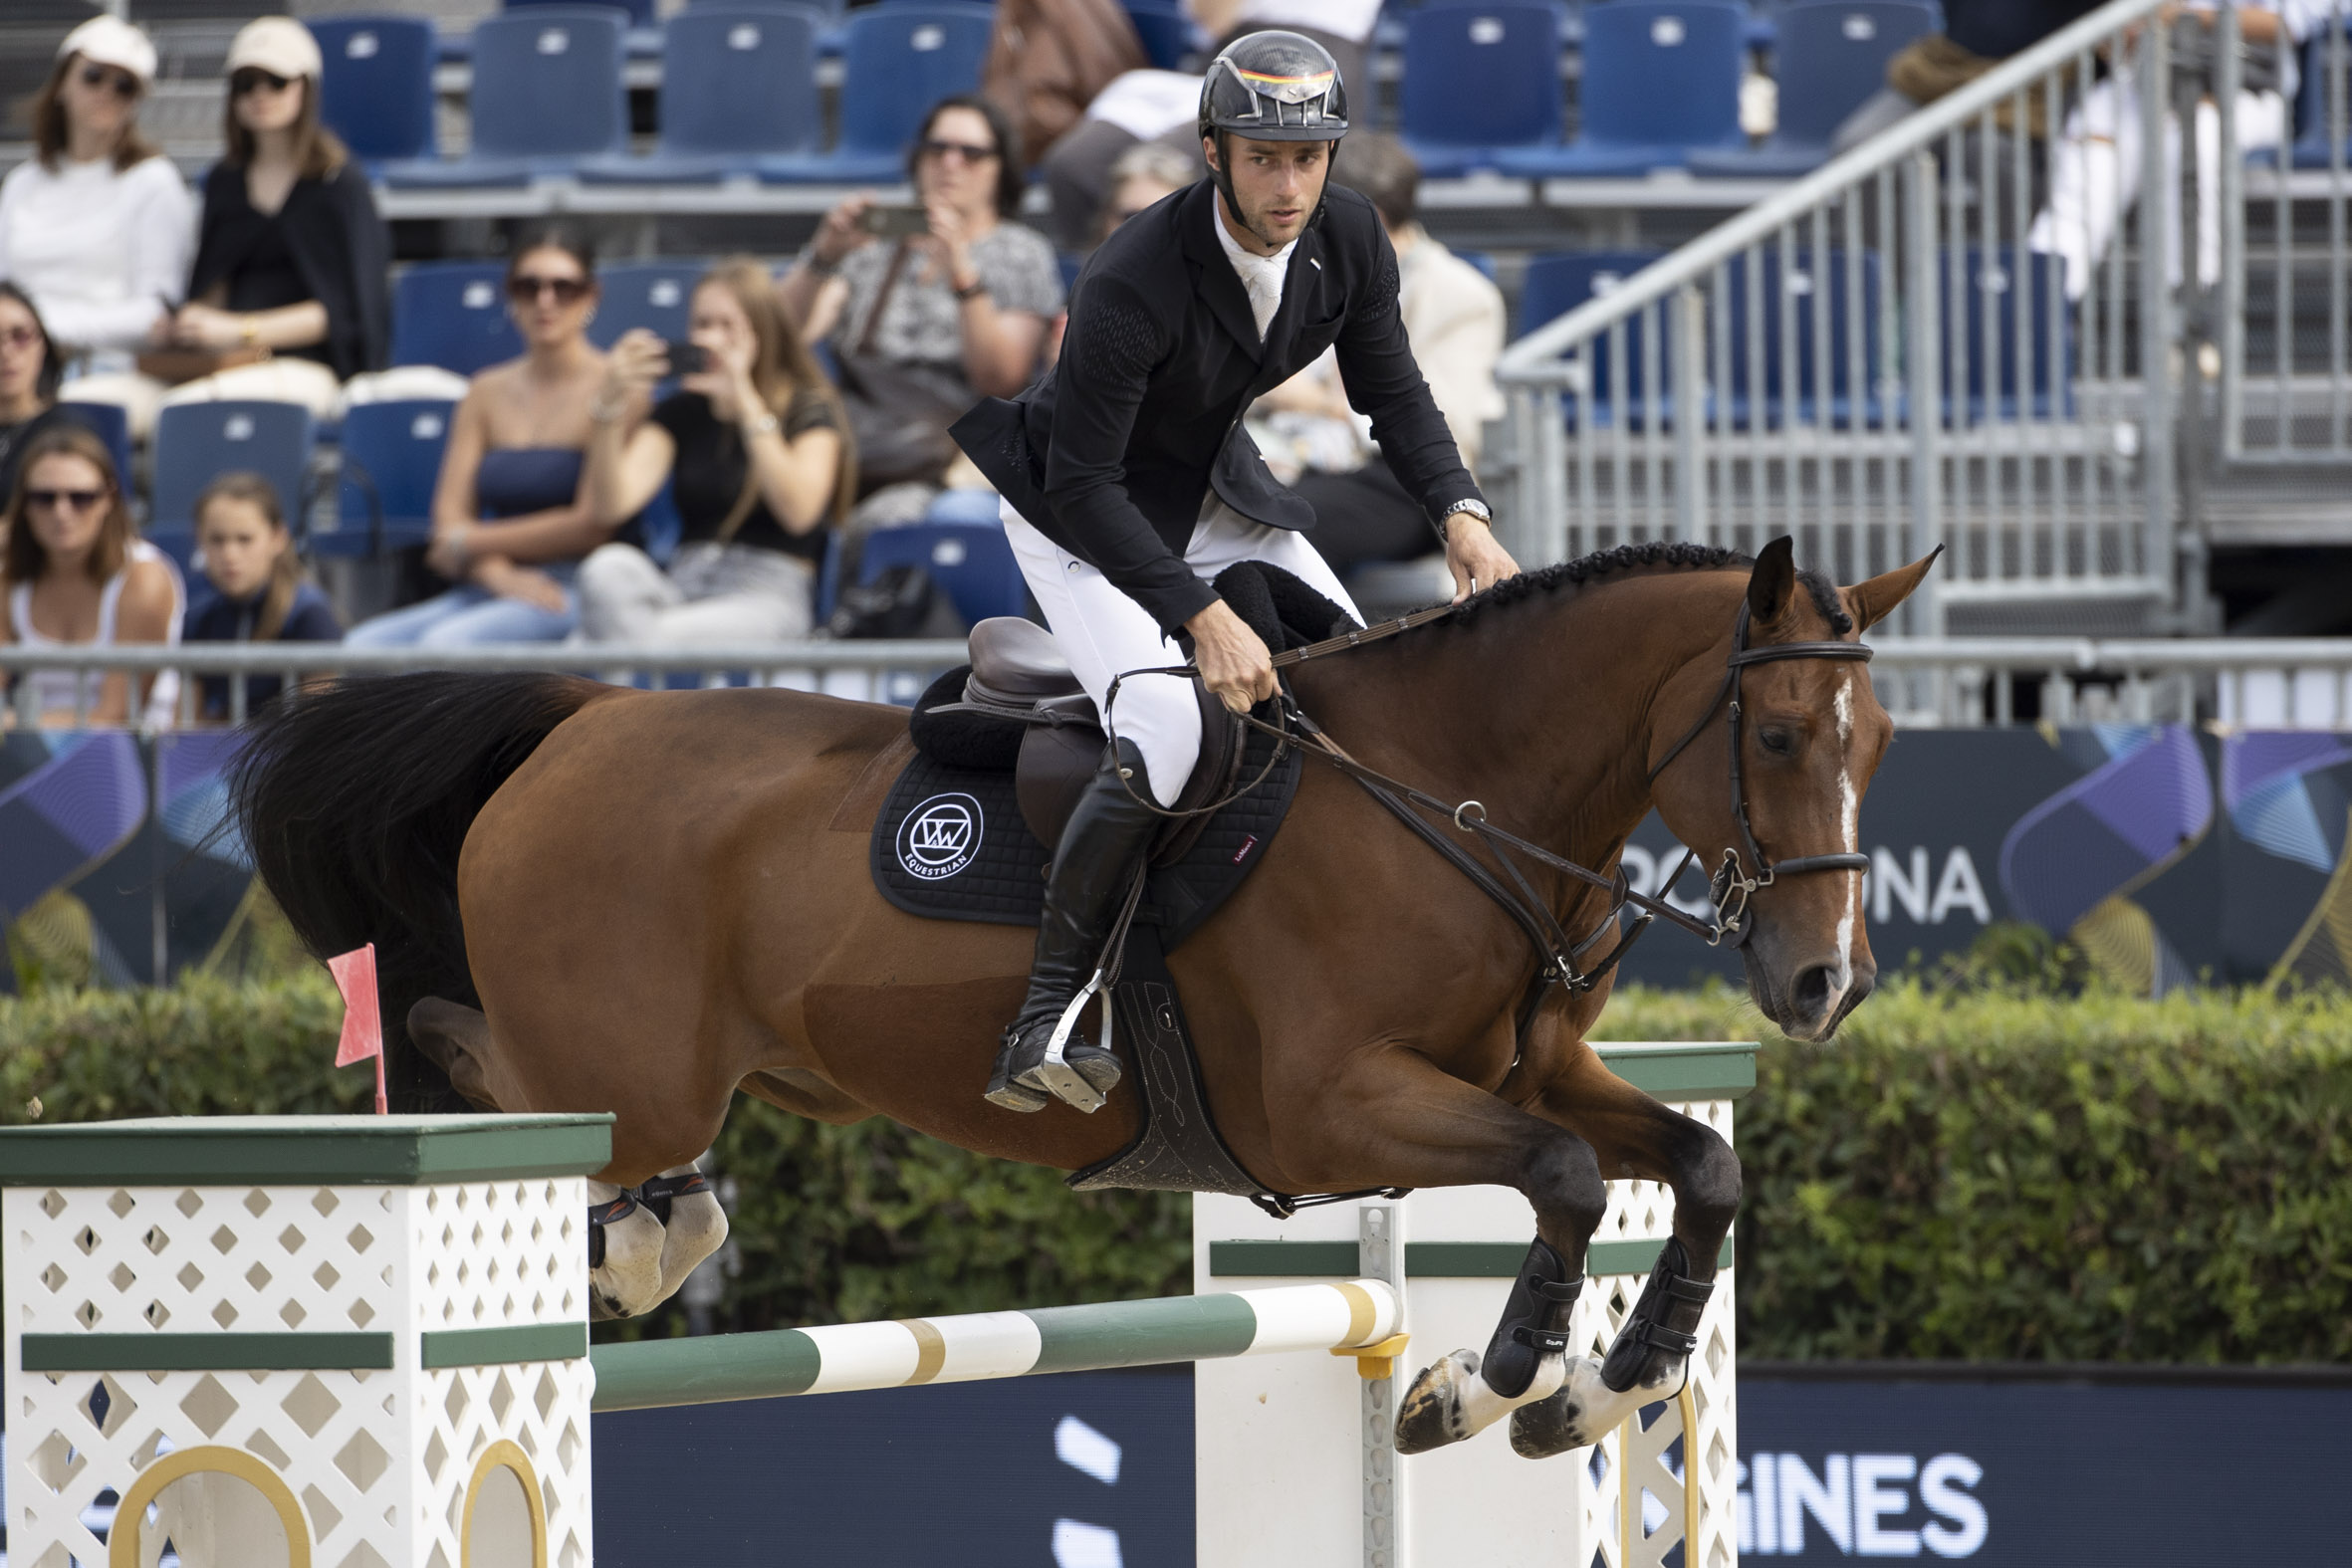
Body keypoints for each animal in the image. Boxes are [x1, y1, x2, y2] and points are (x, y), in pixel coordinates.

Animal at [231, 535, 1932, 1460]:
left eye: (1882, 738)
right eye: (1778, 734)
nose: (1823, 981)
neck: (1458, 797)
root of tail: (581, 717)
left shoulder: (1521, 1072)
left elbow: (1697, 1161)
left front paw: (1607, 1382)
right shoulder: (1330, 1108)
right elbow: (1570, 1176)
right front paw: (1485, 1382)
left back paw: (662, 1225)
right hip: (624, 1064)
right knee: (467, 1049)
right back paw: (577, 1199)